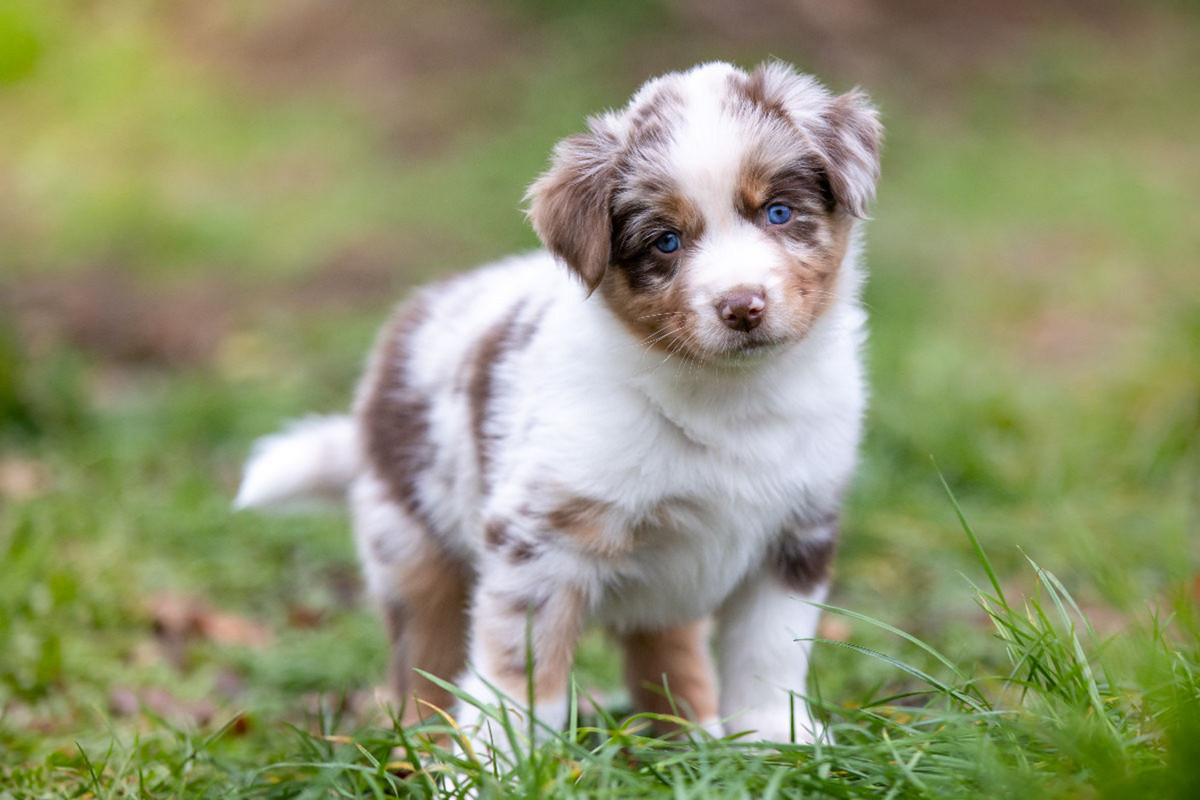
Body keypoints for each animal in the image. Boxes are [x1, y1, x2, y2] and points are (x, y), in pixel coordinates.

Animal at [238, 59, 883, 748]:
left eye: (779, 212)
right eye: (666, 242)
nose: (742, 306)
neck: (728, 395)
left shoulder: (797, 532)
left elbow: (769, 650)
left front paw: (775, 739)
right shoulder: (541, 538)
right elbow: (518, 669)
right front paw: (496, 759)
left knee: (667, 651)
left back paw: (693, 739)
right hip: (410, 547)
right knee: (424, 666)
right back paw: (427, 745)